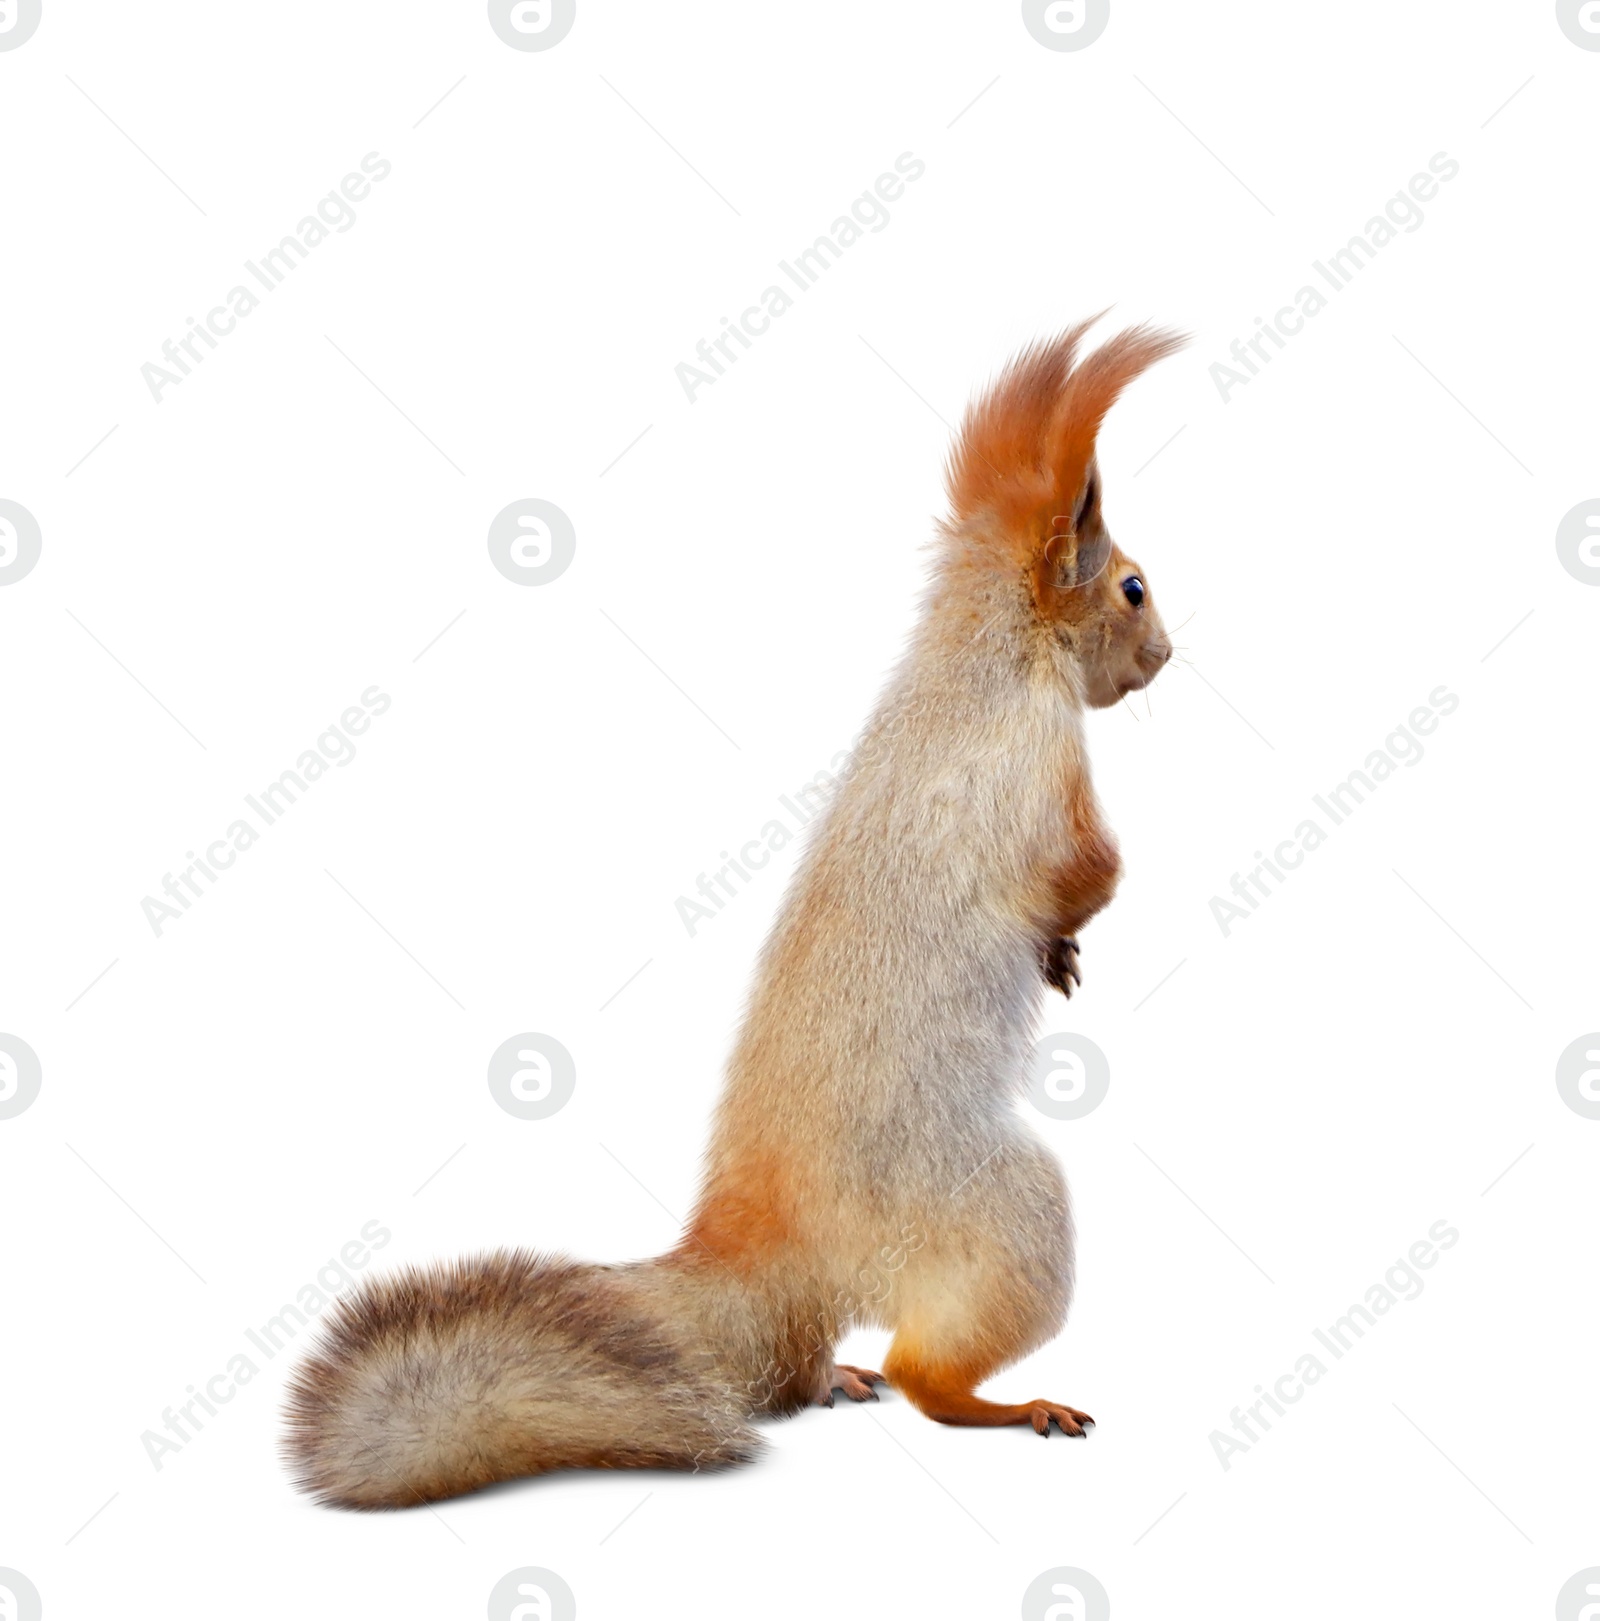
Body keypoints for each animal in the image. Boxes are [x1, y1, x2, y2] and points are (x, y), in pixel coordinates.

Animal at [285, 316, 1186, 1504]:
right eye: (1130, 588)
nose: (1171, 654)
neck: (981, 654)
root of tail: (758, 1254)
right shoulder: (1046, 771)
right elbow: (1092, 871)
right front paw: (1065, 945)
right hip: (1004, 1211)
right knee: (928, 1377)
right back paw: (1005, 1403)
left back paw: (835, 1376)